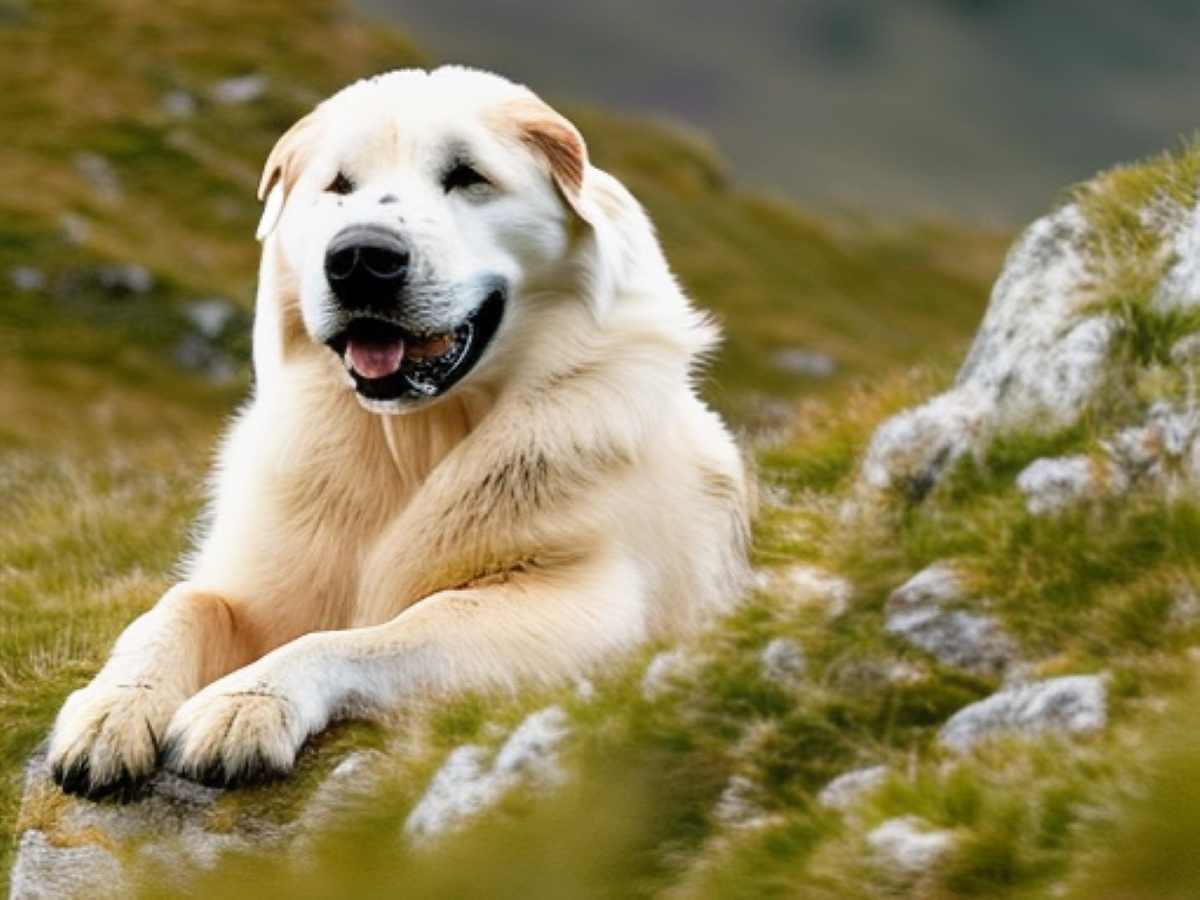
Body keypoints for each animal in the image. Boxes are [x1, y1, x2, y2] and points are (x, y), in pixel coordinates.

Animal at [54, 68, 748, 801]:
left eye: (467, 176)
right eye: (338, 185)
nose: (360, 257)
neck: (410, 441)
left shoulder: (581, 604)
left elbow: (375, 635)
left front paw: (248, 702)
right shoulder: (252, 584)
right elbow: (174, 612)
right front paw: (112, 706)